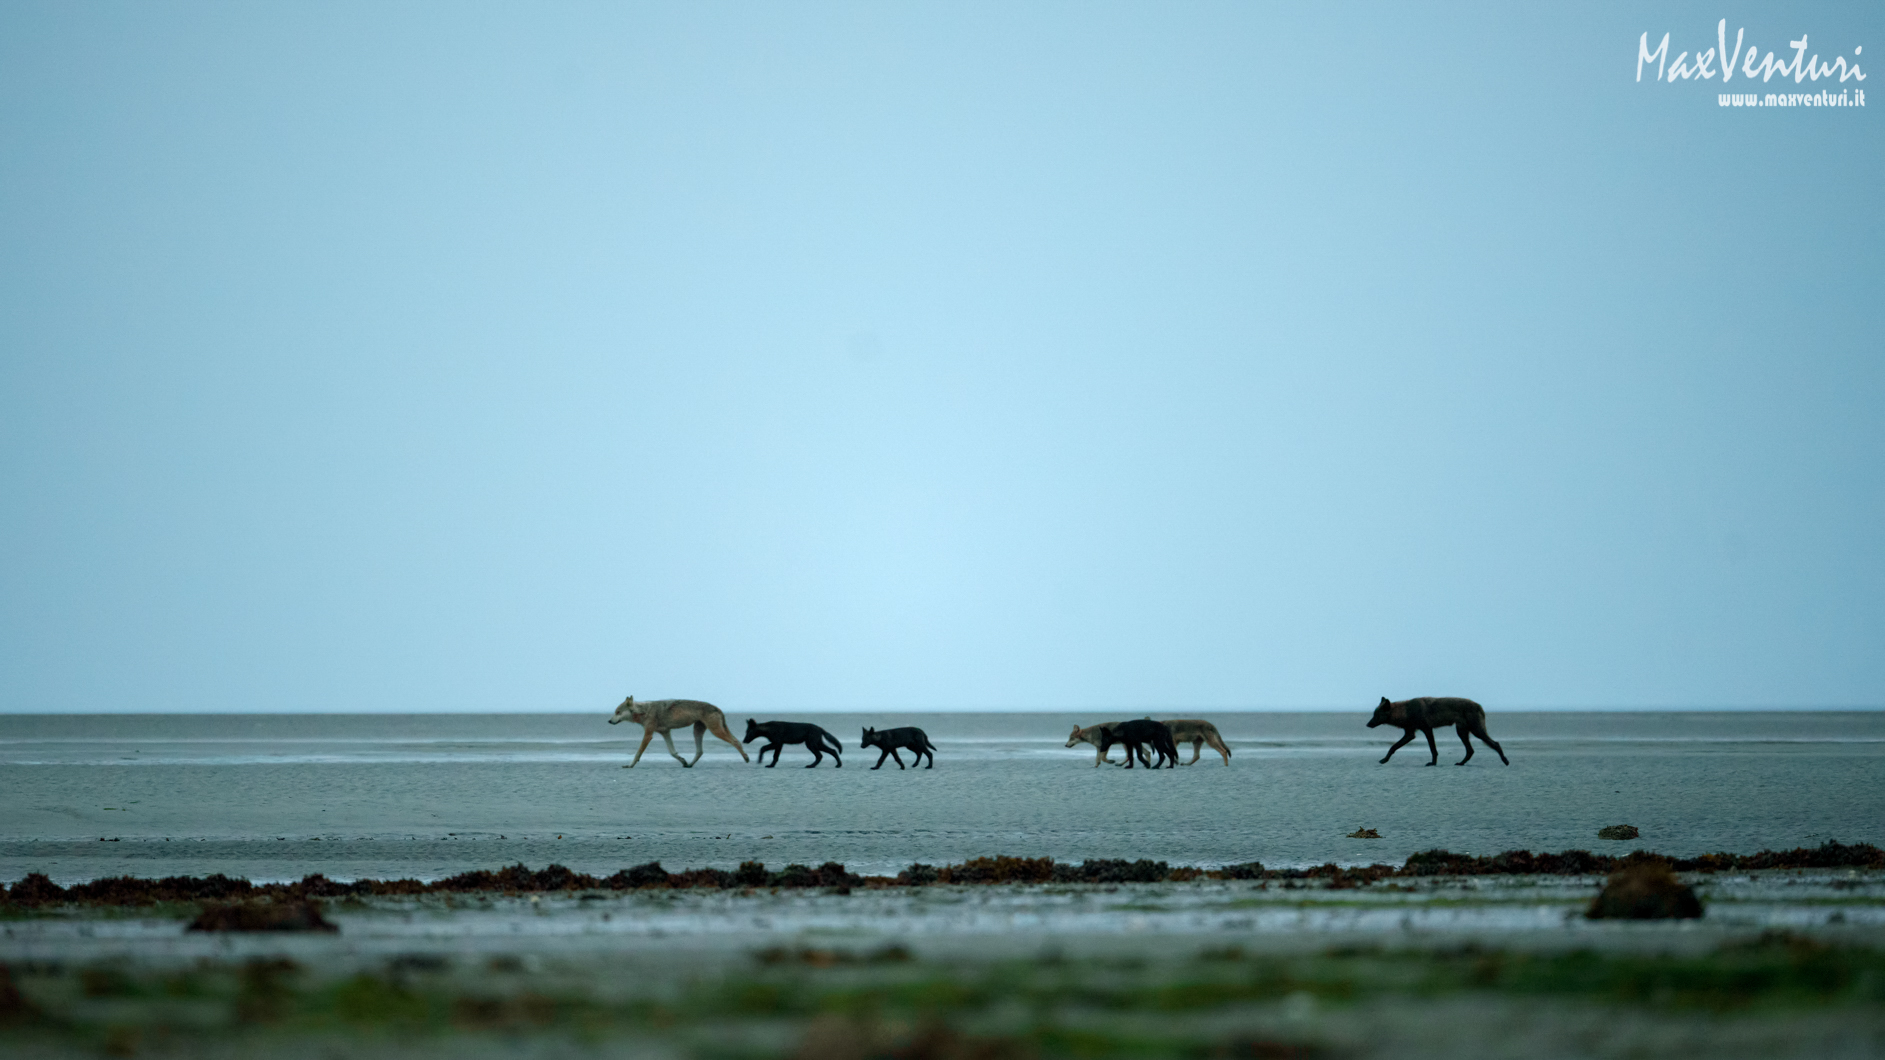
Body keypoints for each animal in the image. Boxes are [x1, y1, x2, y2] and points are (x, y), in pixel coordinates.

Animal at [608, 696, 749, 769]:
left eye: (618, 712)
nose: (609, 721)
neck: (644, 711)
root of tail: (718, 708)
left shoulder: (648, 735)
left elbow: (638, 753)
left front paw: (630, 765)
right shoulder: (666, 733)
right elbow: (672, 752)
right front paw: (683, 760)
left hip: (715, 732)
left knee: (736, 741)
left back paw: (746, 759)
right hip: (697, 732)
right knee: (700, 751)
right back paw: (689, 764)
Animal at [1368, 696, 1509, 766]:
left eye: (1376, 715)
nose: (1367, 724)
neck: (1406, 711)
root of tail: (1479, 705)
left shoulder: (1423, 731)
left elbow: (1432, 749)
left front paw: (1432, 763)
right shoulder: (1412, 733)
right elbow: (1393, 747)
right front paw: (1384, 760)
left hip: (1476, 732)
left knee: (1495, 744)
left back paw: (1505, 761)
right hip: (1462, 732)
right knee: (1470, 750)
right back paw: (1461, 763)